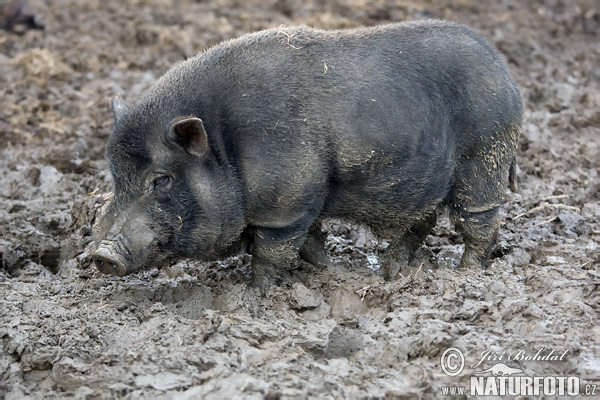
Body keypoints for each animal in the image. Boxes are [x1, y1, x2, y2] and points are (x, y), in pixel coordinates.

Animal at [89, 20, 520, 288]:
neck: (225, 146)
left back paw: (467, 275)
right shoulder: (304, 201)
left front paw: (256, 295)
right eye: (115, 176)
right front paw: (329, 271)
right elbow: (310, 241)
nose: (100, 255)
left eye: (161, 180)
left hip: (486, 154)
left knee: (480, 219)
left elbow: (271, 254)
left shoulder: (284, 203)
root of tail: (508, 77)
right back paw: (392, 269)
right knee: (423, 220)